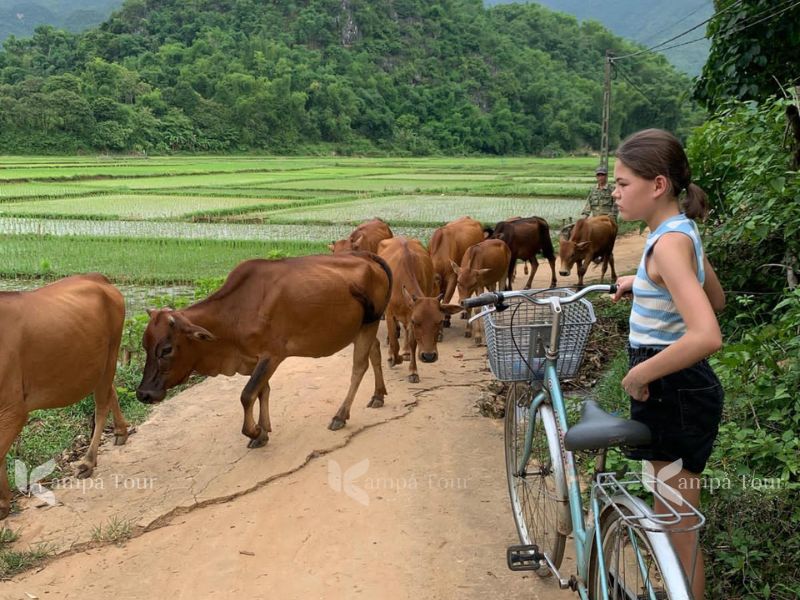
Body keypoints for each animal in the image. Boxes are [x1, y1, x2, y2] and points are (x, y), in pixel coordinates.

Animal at [0, 274, 127, 516]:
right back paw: (121, 431)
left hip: (112, 351)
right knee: (111, 390)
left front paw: (3, 503)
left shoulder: (13, 411)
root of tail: (98, 277)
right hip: (99, 363)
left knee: (102, 404)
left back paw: (88, 461)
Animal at [138, 253, 394, 446]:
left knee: (359, 367)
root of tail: (367, 256)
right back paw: (378, 394)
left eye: (166, 350)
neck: (234, 312)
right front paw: (263, 429)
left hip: (369, 323)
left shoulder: (272, 356)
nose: (143, 394)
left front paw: (255, 431)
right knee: (375, 352)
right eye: (144, 346)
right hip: (362, 327)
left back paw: (341, 415)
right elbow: (262, 391)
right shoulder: (254, 358)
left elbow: (247, 394)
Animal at [378, 237, 460, 382]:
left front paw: (413, 371)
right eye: (416, 322)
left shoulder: (410, 315)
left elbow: (412, 342)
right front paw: (393, 358)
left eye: (440, 321)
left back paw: (406, 353)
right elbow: (394, 341)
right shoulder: (390, 314)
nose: (429, 356)